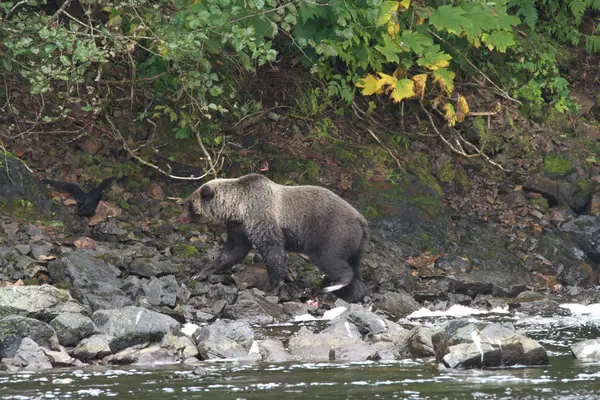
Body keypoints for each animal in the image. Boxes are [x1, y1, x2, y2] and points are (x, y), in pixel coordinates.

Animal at [178, 173, 368, 302]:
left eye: (188, 204)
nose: (182, 218)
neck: (237, 207)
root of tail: (361, 219)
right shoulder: (239, 227)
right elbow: (233, 250)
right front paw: (201, 272)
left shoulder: (261, 216)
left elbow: (273, 250)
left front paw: (273, 287)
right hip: (356, 244)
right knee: (355, 265)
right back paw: (351, 294)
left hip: (332, 232)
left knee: (327, 257)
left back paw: (336, 284)